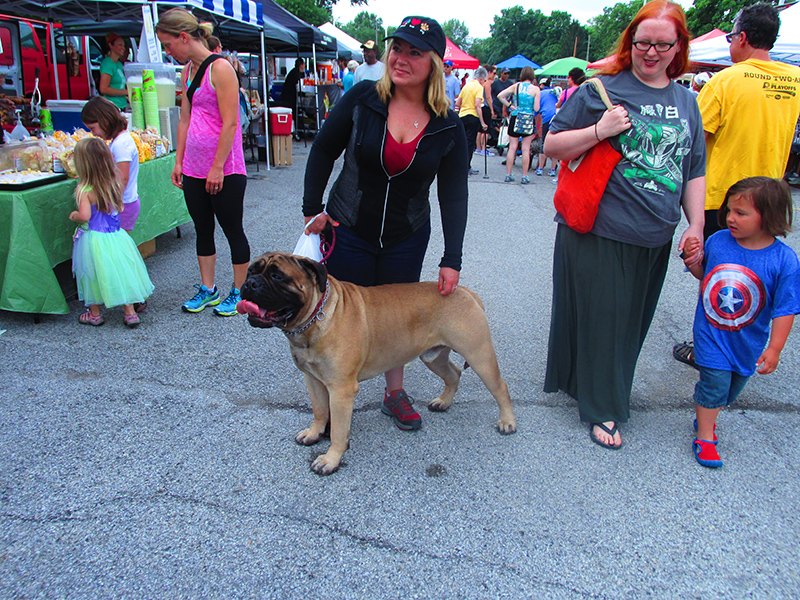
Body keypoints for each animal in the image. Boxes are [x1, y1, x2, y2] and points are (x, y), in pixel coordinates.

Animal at [238, 251, 520, 476]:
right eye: (251, 270)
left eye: (277, 276)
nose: (249, 283)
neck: (314, 318)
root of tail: (464, 291)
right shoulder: (313, 379)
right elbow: (319, 410)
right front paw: (313, 433)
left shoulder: (340, 389)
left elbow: (338, 429)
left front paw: (330, 460)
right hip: (434, 356)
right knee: (454, 374)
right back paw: (443, 402)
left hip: (479, 355)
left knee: (500, 387)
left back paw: (507, 422)